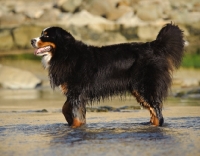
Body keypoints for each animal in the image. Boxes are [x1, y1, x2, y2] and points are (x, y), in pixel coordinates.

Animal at [30, 23, 184, 128]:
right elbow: (66, 109)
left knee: (158, 113)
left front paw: (75, 126)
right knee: (154, 112)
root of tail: (153, 46)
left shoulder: (77, 93)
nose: (32, 40)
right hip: (139, 90)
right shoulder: (74, 93)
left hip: (145, 87)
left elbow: (76, 115)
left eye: (46, 35)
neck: (65, 54)